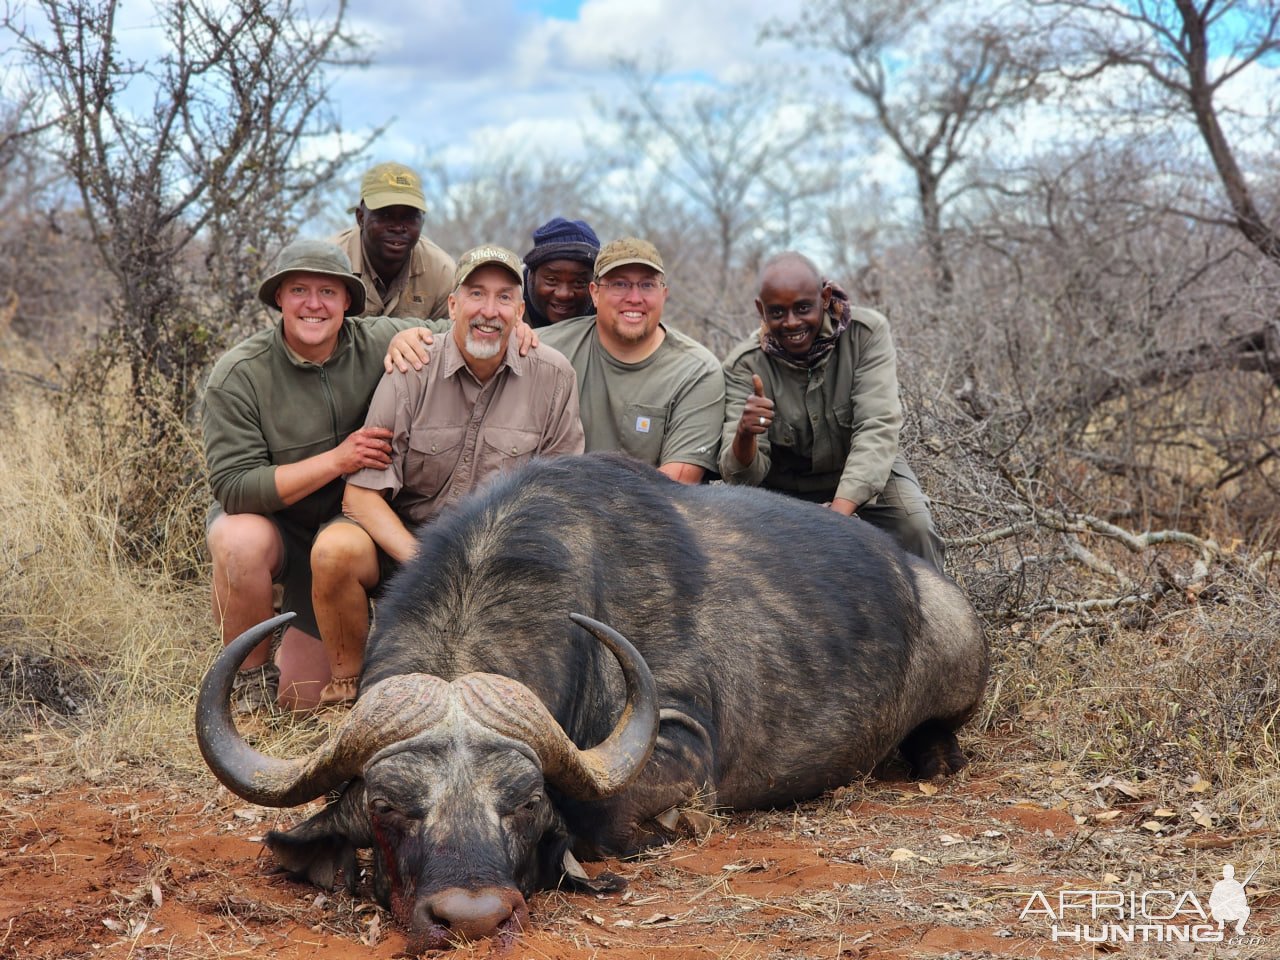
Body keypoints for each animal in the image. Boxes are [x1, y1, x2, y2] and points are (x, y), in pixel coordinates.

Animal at [194, 455, 983, 952]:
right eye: (388, 807)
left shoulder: (681, 747)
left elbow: (603, 817)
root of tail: (925, 581)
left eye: (526, 803)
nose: (474, 919)